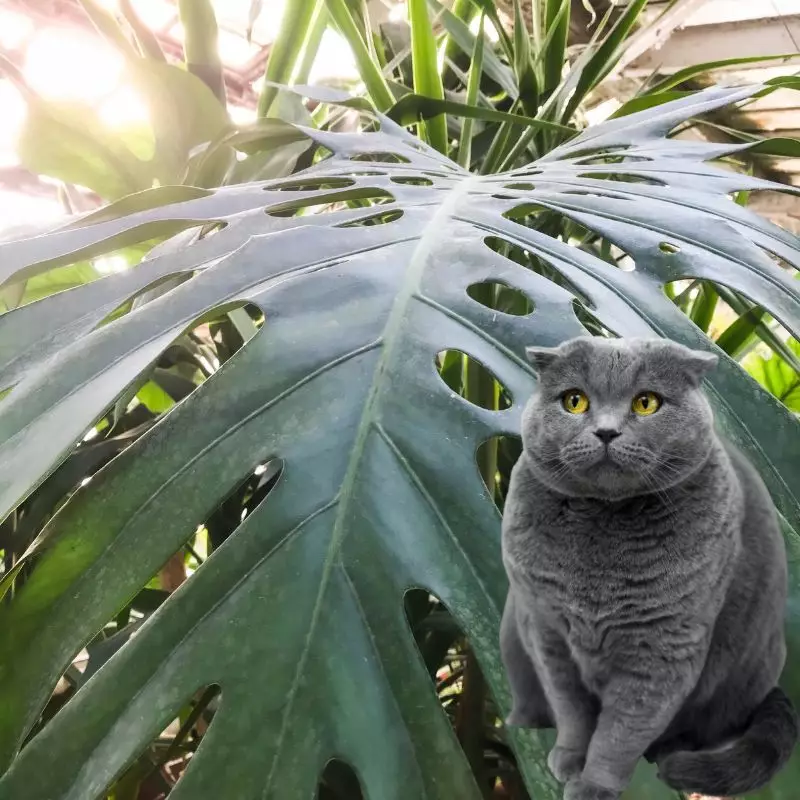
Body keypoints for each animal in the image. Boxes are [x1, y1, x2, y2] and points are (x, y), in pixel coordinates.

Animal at [504, 336, 796, 800]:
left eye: (646, 403)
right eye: (574, 401)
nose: (606, 431)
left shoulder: (662, 649)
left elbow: (621, 732)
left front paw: (594, 785)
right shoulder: (547, 634)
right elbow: (571, 709)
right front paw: (568, 758)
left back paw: (671, 751)